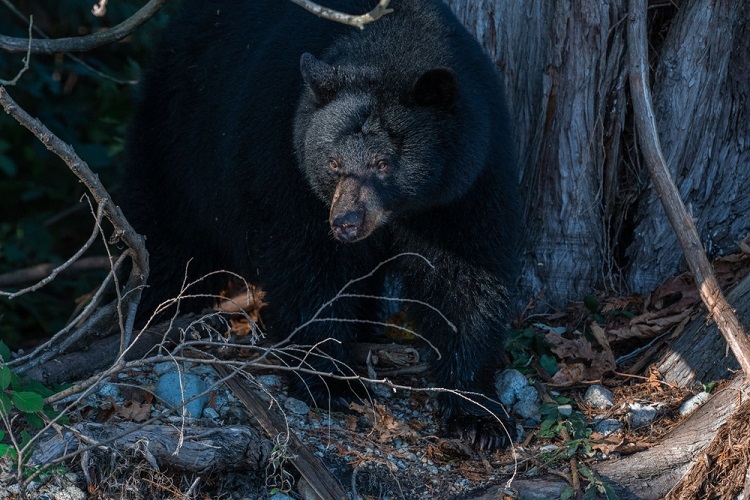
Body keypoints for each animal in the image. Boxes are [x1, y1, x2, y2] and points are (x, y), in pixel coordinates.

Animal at [123, 0, 524, 450]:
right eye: (333, 162)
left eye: (383, 163)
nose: (346, 223)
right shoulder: (286, 159)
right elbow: (310, 264)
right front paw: (332, 382)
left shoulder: (470, 179)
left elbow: (467, 277)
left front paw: (477, 414)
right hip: (178, 133)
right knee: (166, 231)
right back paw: (155, 314)